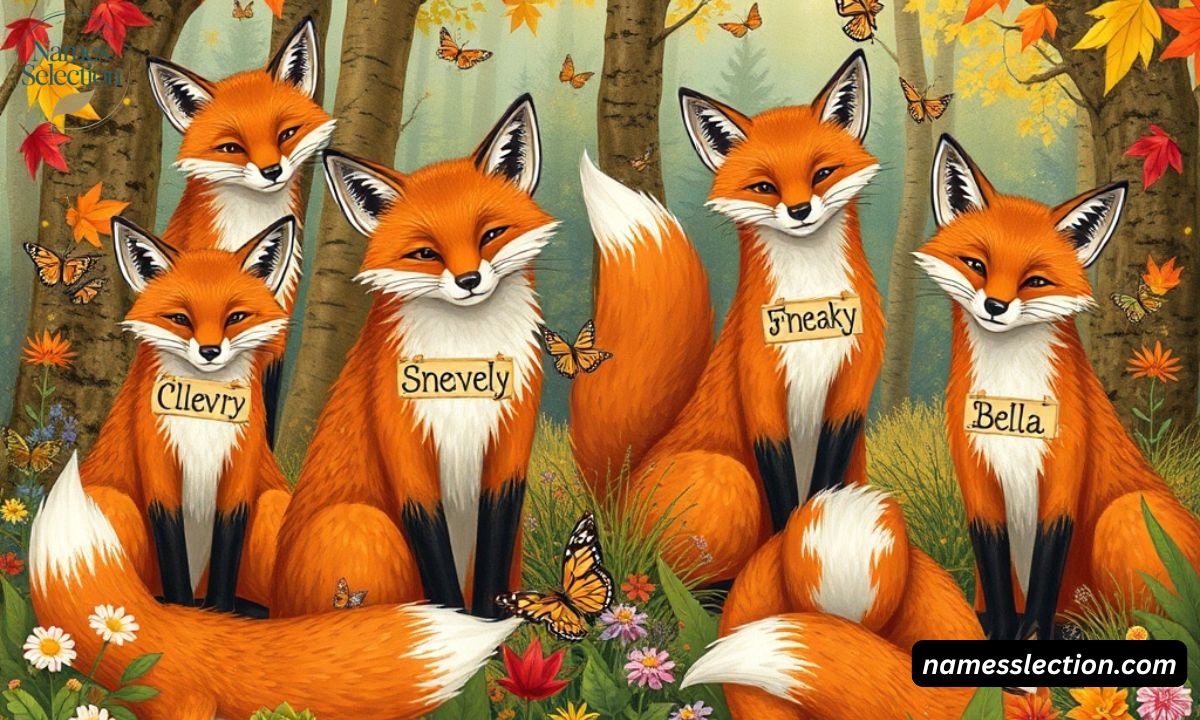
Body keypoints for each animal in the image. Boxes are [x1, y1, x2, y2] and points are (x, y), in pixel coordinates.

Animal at [77, 215, 300, 613]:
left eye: (236, 317)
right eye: (180, 318)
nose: (210, 351)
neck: (202, 408)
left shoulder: (240, 468)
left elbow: (228, 547)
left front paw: (221, 614)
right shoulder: (158, 466)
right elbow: (172, 552)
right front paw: (182, 613)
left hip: (274, 504)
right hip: (112, 502)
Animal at [270, 95, 554, 618]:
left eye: (490, 235)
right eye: (425, 253)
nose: (469, 280)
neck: (462, 364)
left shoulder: (510, 446)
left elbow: (491, 558)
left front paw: (494, 628)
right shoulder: (406, 449)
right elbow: (437, 563)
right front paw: (464, 631)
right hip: (364, 525)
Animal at [571, 50, 884, 581]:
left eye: (822, 173)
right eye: (764, 186)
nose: (800, 210)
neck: (810, 313)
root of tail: (615, 504)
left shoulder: (851, 390)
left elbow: (822, 480)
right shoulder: (759, 388)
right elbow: (783, 492)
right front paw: (784, 555)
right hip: (730, 476)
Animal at [915, 134, 1200, 640]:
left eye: (1035, 281)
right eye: (976, 264)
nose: (995, 305)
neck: (1012, 397)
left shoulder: (1065, 473)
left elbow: (1047, 565)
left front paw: (1032, 637)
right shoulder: (977, 477)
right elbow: (994, 567)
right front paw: (1002, 634)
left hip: (1126, 514)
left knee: (1151, 622)